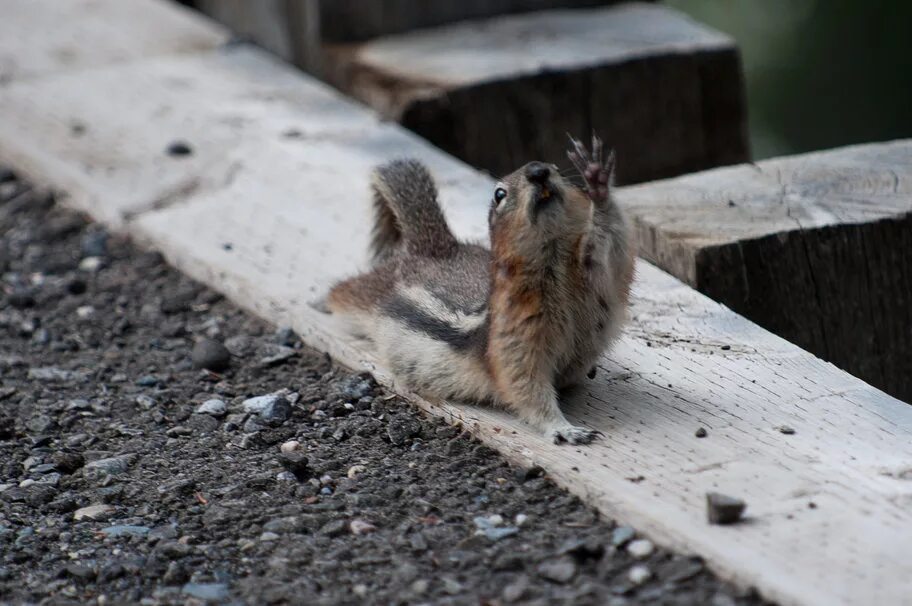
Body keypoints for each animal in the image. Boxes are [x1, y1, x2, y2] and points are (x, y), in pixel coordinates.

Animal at [328, 135, 636, 444]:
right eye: (499, 194)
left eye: (556, 168)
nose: (538, 171)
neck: (555, 262)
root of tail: (433, 250)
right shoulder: (515, 337)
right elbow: (526, 387)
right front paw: (563, 428)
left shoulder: (595, 273)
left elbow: (613, 251)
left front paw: (599, 184)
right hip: (366, 293)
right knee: (342, 292)